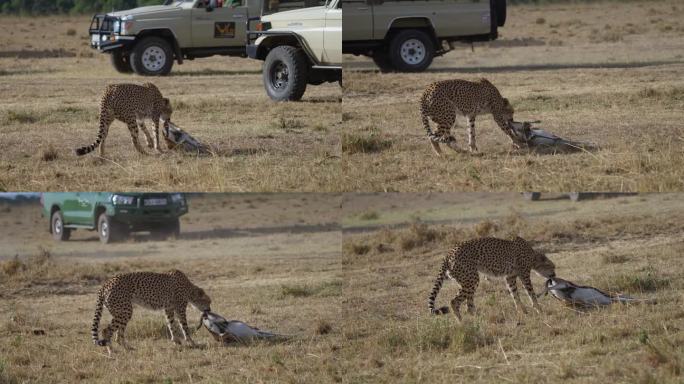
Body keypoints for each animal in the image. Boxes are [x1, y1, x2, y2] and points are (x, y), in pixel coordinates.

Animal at [428, 237, 556, 320]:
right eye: (552, 266)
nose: (554, 275)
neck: (533, 256)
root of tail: (448, 253)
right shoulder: (524, 275)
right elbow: (531, 294)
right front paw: (539, 310)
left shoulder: (509, 277)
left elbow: (515, 295)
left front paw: (523, 311)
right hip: (471, 279)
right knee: (454, 302)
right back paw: (463, 323)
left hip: (467, 281)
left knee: (469, 305)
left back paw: (478, 320)